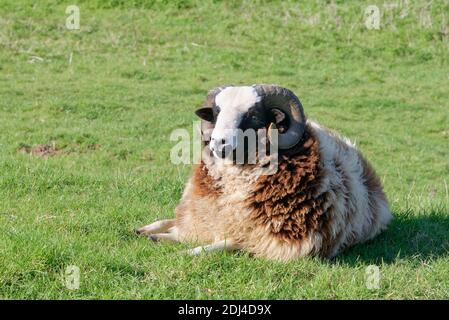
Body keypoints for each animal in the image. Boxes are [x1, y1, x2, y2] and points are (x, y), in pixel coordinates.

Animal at [137, 85, 392, 262]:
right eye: (216, 113)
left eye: (253, 115)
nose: (218, 143)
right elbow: (184, 228)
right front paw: (153, 232)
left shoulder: (271, 242)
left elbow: (222, 243)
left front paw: (182, 251)